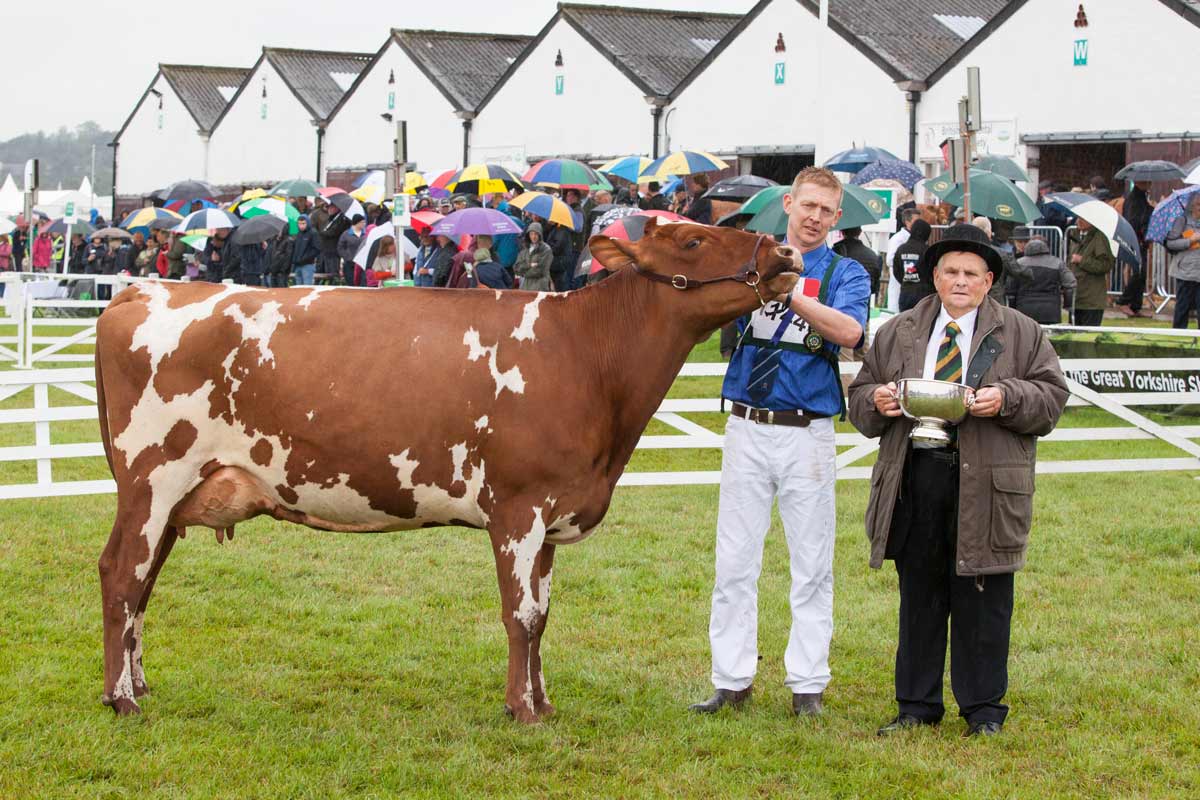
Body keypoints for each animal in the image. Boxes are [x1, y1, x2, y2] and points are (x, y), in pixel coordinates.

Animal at [98, 217, 801, 719]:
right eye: (693, 239)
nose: (786, 251)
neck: (585, 357)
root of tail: (143, 288)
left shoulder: (552, 514)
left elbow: (543, 614)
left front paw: (543, 702)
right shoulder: (519, 507)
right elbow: (521, 615)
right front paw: (522, 711)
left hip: (174, 496)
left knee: (144, 585)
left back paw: (138, 684)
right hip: (151, 479)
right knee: (122, 575)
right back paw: (122, 699)